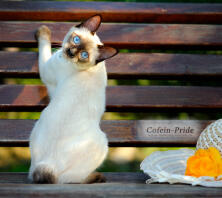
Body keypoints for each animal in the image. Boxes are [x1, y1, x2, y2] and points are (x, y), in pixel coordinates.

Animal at [28, 15, 118, 184]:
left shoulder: (46, 71)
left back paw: (96, 177)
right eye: (76, 39)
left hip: (103, 143)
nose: (70, 52)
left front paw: (43, 30)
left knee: (67, 179)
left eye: (84, 55)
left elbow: (44, 45)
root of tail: (48, 164)